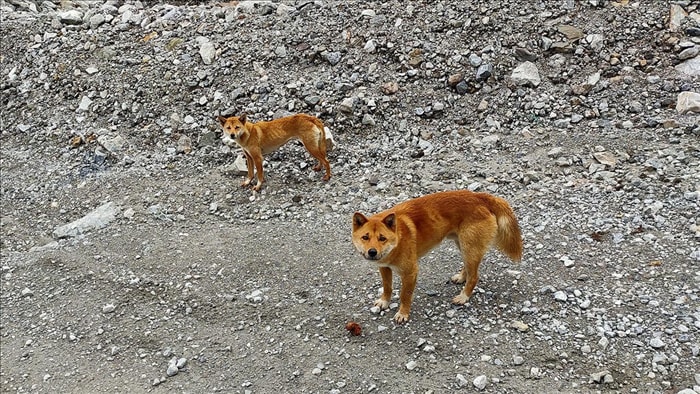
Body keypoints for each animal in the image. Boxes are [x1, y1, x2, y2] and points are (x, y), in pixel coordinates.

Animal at [352, 191, 524, 324]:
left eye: (382, 238)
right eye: (365, 237)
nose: (372, 252)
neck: (398, 238)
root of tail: (479, 196)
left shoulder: (410, 272)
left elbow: (404, 295)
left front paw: (403, 313)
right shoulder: (384, 267)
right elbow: (387, 287)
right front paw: (384, 301)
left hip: (470, 247)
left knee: (474, 276)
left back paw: (463, 297)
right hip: (463, 245)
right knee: (468, 269)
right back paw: (461, 277)